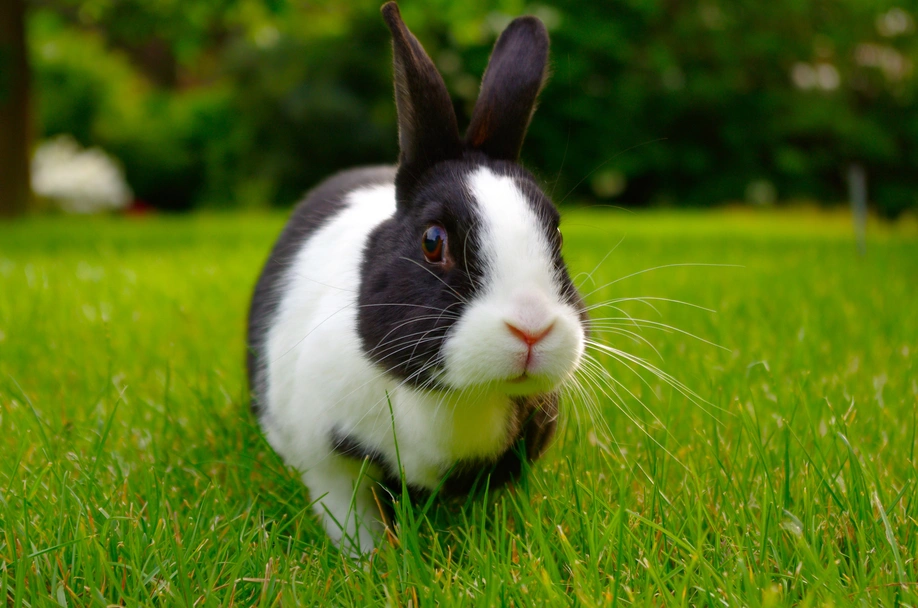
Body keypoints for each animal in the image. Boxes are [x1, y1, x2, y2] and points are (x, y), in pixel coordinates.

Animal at [246, 1, 588, 554]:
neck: (454, 396)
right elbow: (351, 516)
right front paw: (370, 562)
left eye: (556, 233)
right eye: (432, 241)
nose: (532, 328)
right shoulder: (327, 464)